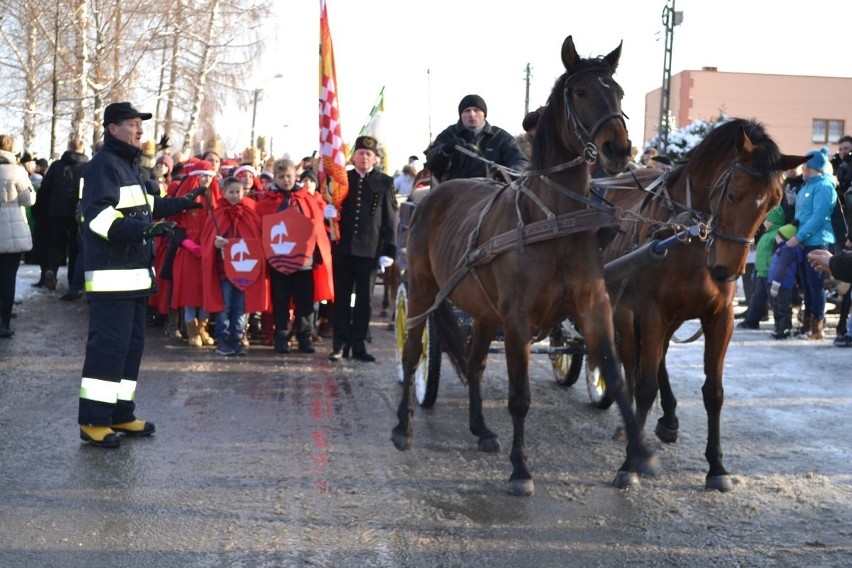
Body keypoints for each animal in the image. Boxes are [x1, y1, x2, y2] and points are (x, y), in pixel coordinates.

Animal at [390, 36, 656, 496]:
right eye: (580, 91)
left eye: (620, 92)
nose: (619, 150)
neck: (552, 220)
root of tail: (429, 198)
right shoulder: (517, 318)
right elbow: (519, 397)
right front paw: (520, 469)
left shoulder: (593, 307)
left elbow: (615, 374)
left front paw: (638, 452)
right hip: (423, 289)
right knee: (411, 353)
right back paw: (403, 427)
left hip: (481, 311)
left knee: (475, 363)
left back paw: (481, 430)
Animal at [600, 118, 804, 488]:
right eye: (734, 193)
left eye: (773, 203)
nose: (727, 269)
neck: (686, 235)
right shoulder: (651, 311)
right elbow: (646, 383)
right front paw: (629, 464)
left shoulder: (719, 317)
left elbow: (714, 391)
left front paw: (717, 467)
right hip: (623, 308)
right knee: (631, 361)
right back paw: (629, 424)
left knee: (658, 358)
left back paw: (667, 420)